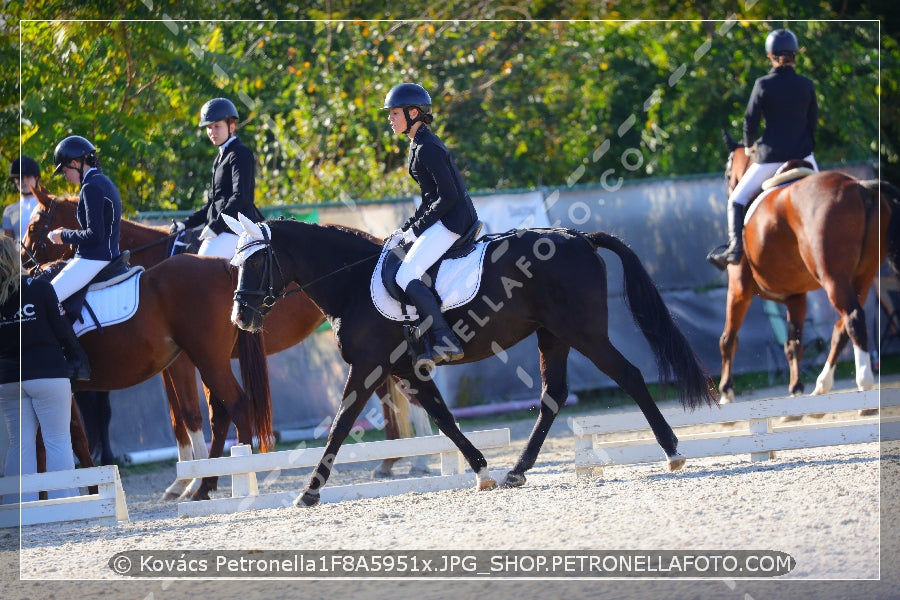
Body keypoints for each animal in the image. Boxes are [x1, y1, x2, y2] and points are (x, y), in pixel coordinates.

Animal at [22, 188, 428, 496]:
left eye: (36, 223)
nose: (24, 265)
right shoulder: (176, 363)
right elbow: (183, 418)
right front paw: (187, 481)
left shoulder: (185, 362)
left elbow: (192, 415)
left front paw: (193, 481)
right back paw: (399, 458)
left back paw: (407, 459)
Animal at [227, 216, 716, 506]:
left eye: (258, 262)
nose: (241, 317)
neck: (351, 282)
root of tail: (578, 238)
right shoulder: (405, 370)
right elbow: (443, 418)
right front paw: (482, 471)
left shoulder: (368, 368)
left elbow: (340, 426)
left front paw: (308, 493)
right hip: (554, 336)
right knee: (553, 396)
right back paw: (517, 471)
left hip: (583, 332)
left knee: (628, 376)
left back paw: (673, 452)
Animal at [712, 132, 896, 404]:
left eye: (727, 174)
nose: (729, 188)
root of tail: (860, 186)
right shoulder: (796, 298)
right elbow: (793, 344)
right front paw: (796, 388)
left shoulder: (738, 289)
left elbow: (728, 339)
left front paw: (726, 391)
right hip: (863, 278)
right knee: (841, 327)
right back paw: (822, 384)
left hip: (833, 278)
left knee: (852, 318)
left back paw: (864, 382)